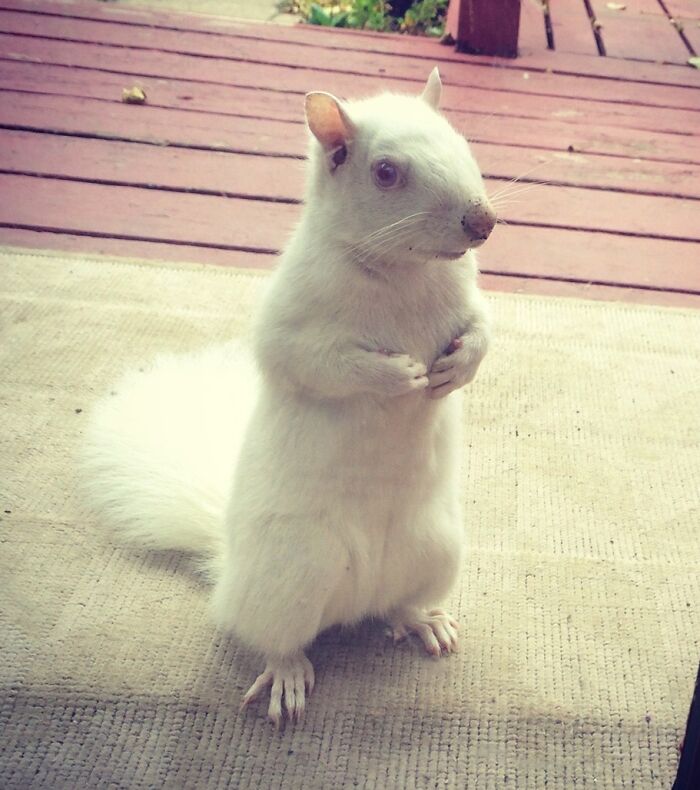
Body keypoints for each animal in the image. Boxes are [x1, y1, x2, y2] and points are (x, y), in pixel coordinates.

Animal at [80, 69, 492, 732]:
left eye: (460, 139)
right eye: (385, 172)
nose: (484, 222)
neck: (403, 272)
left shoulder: (472, 300)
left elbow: (485, 329)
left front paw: (457, 366)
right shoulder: (293, 321)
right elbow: (316, 364)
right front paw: (396, 377)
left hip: (436, 551)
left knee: (396, 606)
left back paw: (420, 620)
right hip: (293, 572)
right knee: (275, 637)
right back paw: (288, 675)